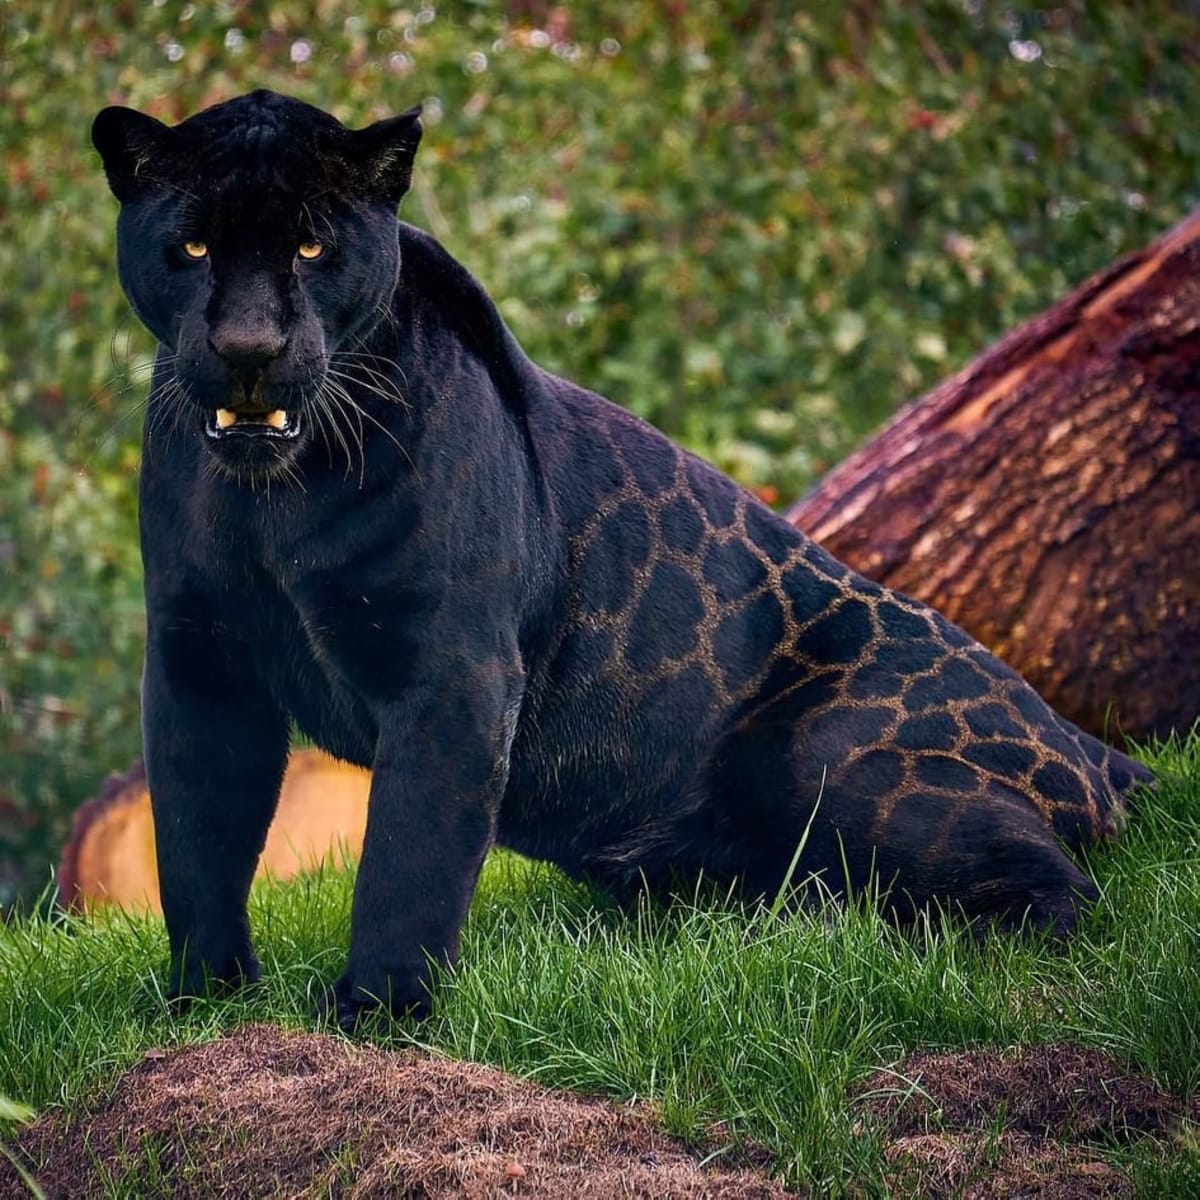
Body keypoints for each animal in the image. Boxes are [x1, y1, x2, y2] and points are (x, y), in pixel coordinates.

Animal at [92, 90, 1149, 1030]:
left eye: (312, 248)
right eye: (193, 246)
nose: (248, 348)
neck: (273, 502)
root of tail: (1091, 744)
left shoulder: (451, 674)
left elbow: (405, 854)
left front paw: (376, 1014)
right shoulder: (198, 662)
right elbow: (197, 842)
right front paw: (203, 1003)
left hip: (827, 760)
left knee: (1066, 897)